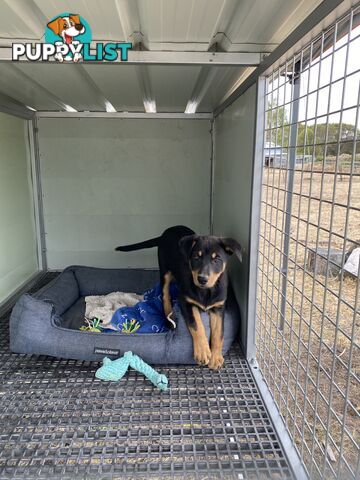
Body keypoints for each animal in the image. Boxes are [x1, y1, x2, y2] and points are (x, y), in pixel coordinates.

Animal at [115, 226, 242, 372]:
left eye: (217, 260)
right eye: (196, 258)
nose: (202, 279)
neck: (205, 291)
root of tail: (167, 231)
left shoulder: (218, 308)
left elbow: (218, 332)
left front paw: (216, 358)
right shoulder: (186, 302)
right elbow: (197, 324)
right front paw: (203, 351)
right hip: (165, 270)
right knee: (165, 296)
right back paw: (170, 319)